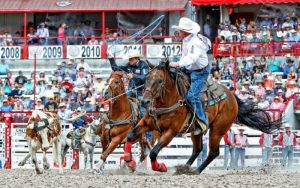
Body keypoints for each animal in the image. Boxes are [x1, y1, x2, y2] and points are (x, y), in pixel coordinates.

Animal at [122, 61, 282, 173]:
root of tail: (232, 96)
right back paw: (184, 169)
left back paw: (196, 171)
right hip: (196, 130)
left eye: (160, 80)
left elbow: (154, 152)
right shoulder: (146, 123)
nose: (144, 101)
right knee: (197, 149)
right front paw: (129, 160)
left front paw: (160, 167)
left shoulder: (171, 132)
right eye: (147, 78)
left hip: (218, 129)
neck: (167, 102)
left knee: (213, 152)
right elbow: (130, 136)